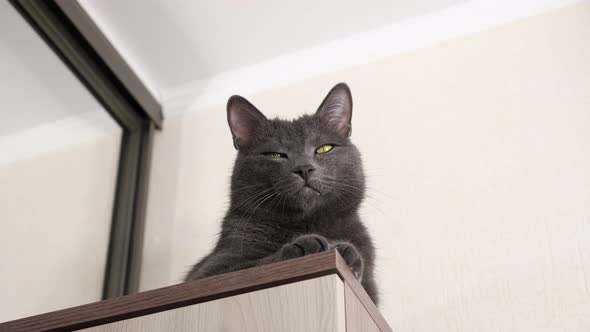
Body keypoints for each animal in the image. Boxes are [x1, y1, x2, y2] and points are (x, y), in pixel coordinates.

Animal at [185, 83, 380, 304]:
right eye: (275, 154)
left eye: (324, 148)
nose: (304, 168)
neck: (306, 223)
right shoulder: (207, 273)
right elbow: (252, 265)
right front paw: (306, 246)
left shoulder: (370, 291)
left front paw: (346, 251)